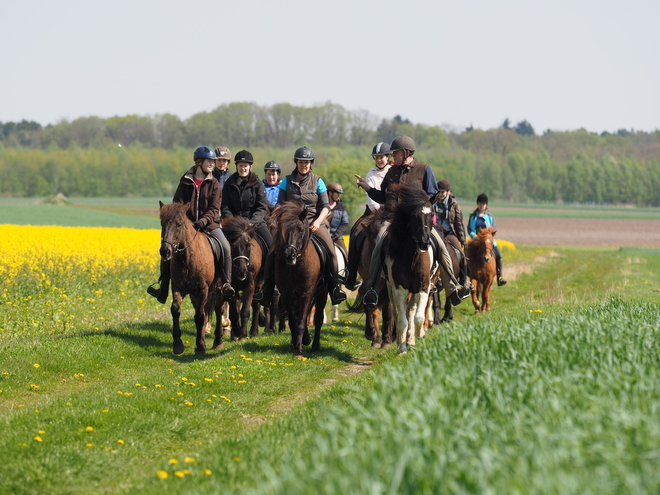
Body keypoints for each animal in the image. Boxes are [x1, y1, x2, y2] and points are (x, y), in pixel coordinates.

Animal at [159, 202, 226, 356]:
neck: (187, 259)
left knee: (218, 309)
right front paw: (178, 344)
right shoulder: (178, 287)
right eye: (162, 223)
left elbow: (200, 316)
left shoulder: (203, 290)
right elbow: (176, 310)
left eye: (179, 225)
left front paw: (200, 347)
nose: (165, 251)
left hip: (218, 289)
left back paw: (218, 341)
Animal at [382, 184, 438, 354]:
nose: (424, 242)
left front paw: (419, 337)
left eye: (432, 213)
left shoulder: (424, 287)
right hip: (391, 289)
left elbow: (419, 318)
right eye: (414, 215)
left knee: (413, 311)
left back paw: (412, 339)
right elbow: (402, 321)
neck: (411, 258)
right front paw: (402, 349)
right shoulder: (399, 290)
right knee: (398, 313)